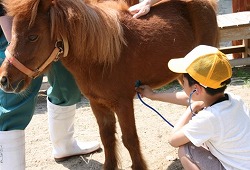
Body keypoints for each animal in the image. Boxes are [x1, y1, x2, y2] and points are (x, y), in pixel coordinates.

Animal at [0, 0, 218, 169]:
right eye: (13, 32)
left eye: (33, 36)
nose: (4, 79)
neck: (101, 58)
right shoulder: (98, 104)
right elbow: (107, 139)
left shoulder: (123, 104)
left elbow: (129, 139)